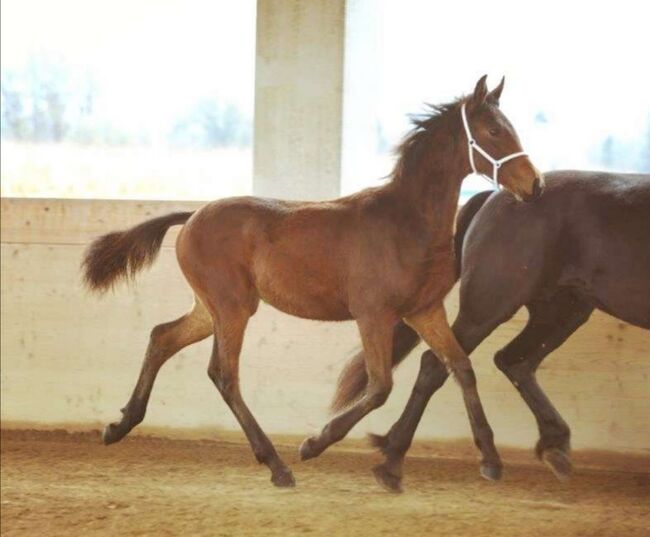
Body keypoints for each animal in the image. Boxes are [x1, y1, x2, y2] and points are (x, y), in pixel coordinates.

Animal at [81, 75, 540, 486]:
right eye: (494, 130)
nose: (534, 184)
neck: (407, 223)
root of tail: (192, 216)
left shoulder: (425, 310)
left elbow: (460, 367)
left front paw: (490, 460)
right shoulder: (374, 314)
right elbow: (380, 386)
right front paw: (313, 445)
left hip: (212, 309)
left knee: (163, 337)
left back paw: (119, 426)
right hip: (232, 308)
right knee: (224, 374)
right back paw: (277, 465)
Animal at [334, 171, 648, 490]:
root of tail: (494, 197)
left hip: (561, 311)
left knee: (514, 360)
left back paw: (553, 447)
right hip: (489, 307)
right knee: (440, 364)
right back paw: (396, 459)